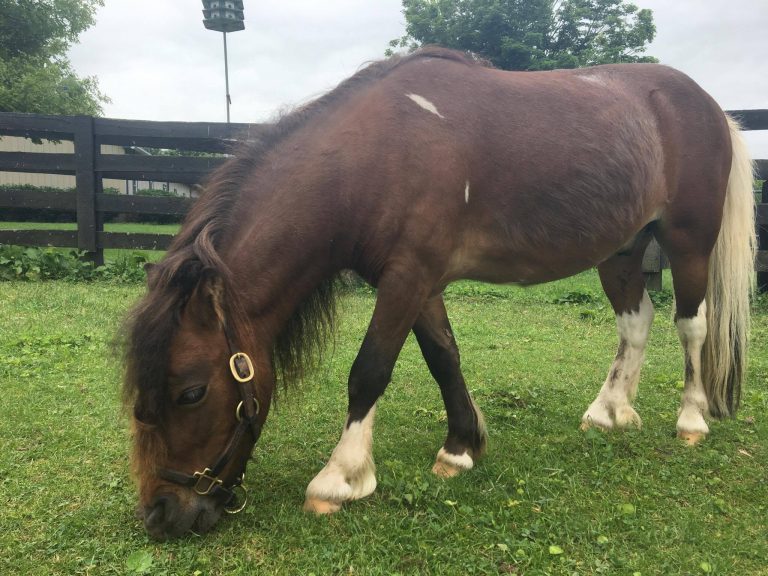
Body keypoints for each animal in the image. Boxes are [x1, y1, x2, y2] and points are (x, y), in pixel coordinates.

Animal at [123, 46, 752, 540]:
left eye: (190, 392)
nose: (160, 515)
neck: (379, 154)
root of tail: (710, 105)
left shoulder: (408, 276)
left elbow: (370, 370)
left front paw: (341, 478)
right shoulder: (416, 281)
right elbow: (443, 356)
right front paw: (460, 447)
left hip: (688, 241)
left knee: (690, 325)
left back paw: (691, 419)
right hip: (621, 249)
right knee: (636, 322)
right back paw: (610, 411)